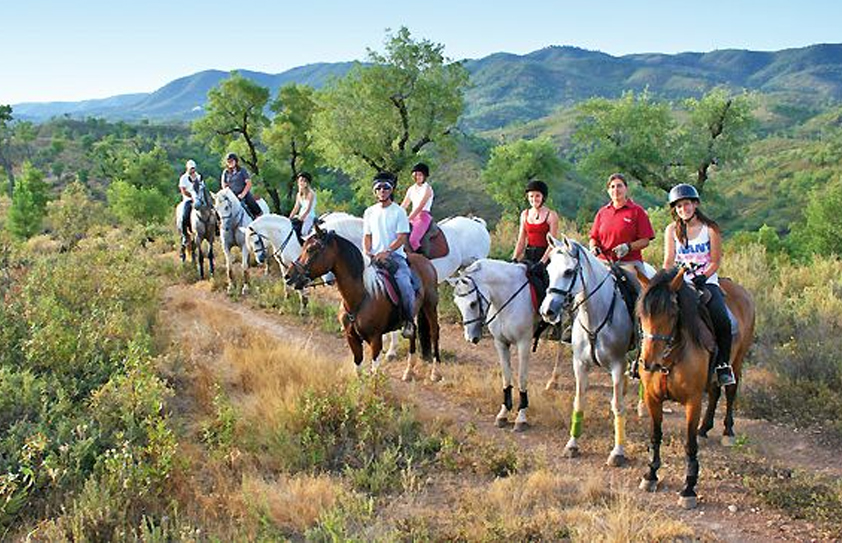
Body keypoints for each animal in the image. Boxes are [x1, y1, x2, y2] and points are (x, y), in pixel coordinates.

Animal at [285, 225, 442, 382]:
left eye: (311, 249)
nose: (288, 276)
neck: (361, 297)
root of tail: (425, 261)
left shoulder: (376, 339)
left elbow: (374, 372)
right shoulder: (352, 338)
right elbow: (358, 368)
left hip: (430, 306)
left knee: (434, 332)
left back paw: (435, 372)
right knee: (413, 331)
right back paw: (409, 371)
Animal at [448, 259, 562, 432]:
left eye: (473, 303)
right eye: (457, 303)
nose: (470, 337)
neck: (508, 298)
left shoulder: (524, 344)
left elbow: (522, 378)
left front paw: (521, 417)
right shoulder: (500, 343)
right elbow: (506, 377)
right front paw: (503, 413)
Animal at [539, 235, 635, 467]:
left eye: (568, 272)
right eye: (549, 270)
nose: (547, 311)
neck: (595, 316)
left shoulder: (617, 364)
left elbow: (617, 406)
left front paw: (617, 452)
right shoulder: (580, 364)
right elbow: (579, 401)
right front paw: (572, 444)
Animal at [636, 267, 755, 509]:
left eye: (673, 314)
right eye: (642, 315)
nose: (649, 363)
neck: (670, 359)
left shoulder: (693, 401)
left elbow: (689, 444)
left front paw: (688, 488)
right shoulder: (653, 398)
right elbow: (655, 435)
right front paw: (651, 474)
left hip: (737, 362)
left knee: (730, 392)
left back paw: (727, 431)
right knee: (715, 392)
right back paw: (705, 428)